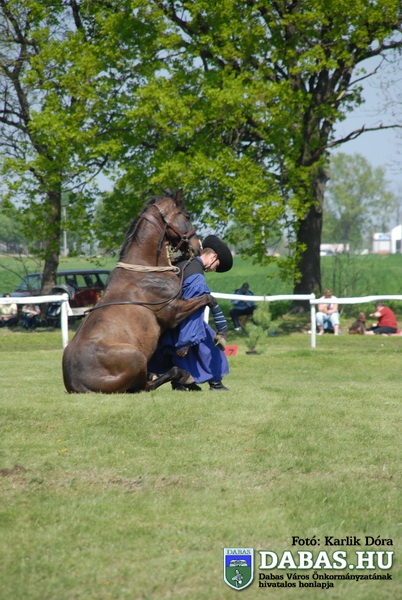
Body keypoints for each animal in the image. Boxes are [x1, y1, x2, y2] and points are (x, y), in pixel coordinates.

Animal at [62, 191, 217, 393]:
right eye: (187, 216)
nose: (197, 246)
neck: (146, 270)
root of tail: (78, 385)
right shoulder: (174, 312)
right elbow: (207, 298)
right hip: (137, 357)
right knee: (147, 385)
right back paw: (183, 375)